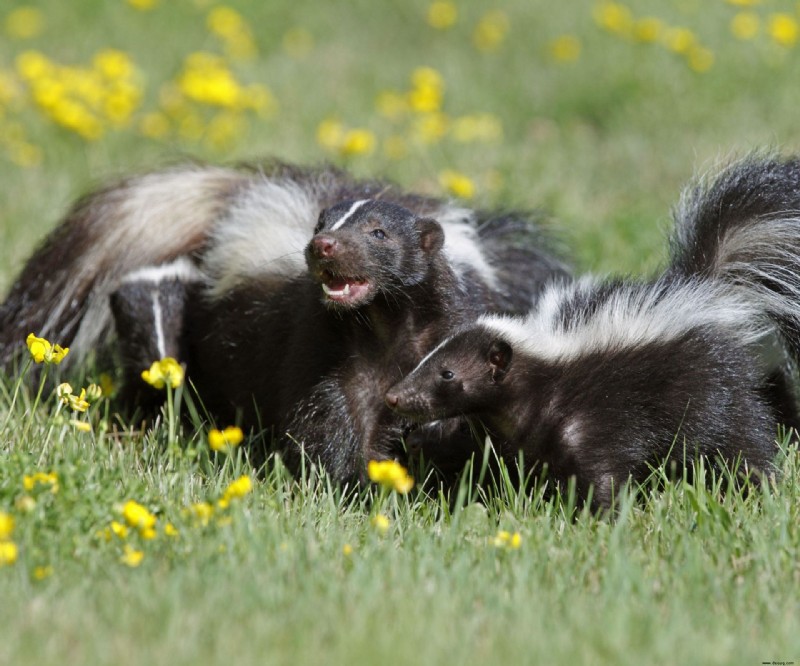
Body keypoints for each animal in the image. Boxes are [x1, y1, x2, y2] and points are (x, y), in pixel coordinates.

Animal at [386, 156, 800, 506]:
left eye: (447, 374)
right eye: (426, 361)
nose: (395, 396)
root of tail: (710, 287)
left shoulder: (590, 420)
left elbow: (602, 472)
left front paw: (603, 516)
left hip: (711, 387)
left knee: (738, 435)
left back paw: (758, 484)